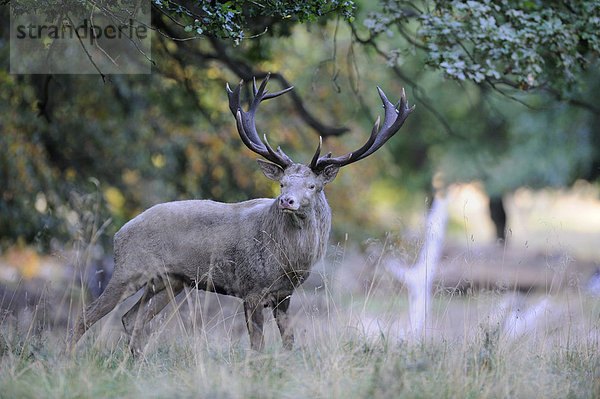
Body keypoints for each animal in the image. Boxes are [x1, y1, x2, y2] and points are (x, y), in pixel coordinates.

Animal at [69, 73, 412, 352]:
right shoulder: (251, 288)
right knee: (86, 316)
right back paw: (68, 360)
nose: (286, 201)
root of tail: (119, 233)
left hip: (170, 281)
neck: (289, 261)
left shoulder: (285, 295)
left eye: (313, 186)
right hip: (130, 269)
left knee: (132, 319)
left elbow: (289, 342)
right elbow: (257, 345)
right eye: (282, 183)